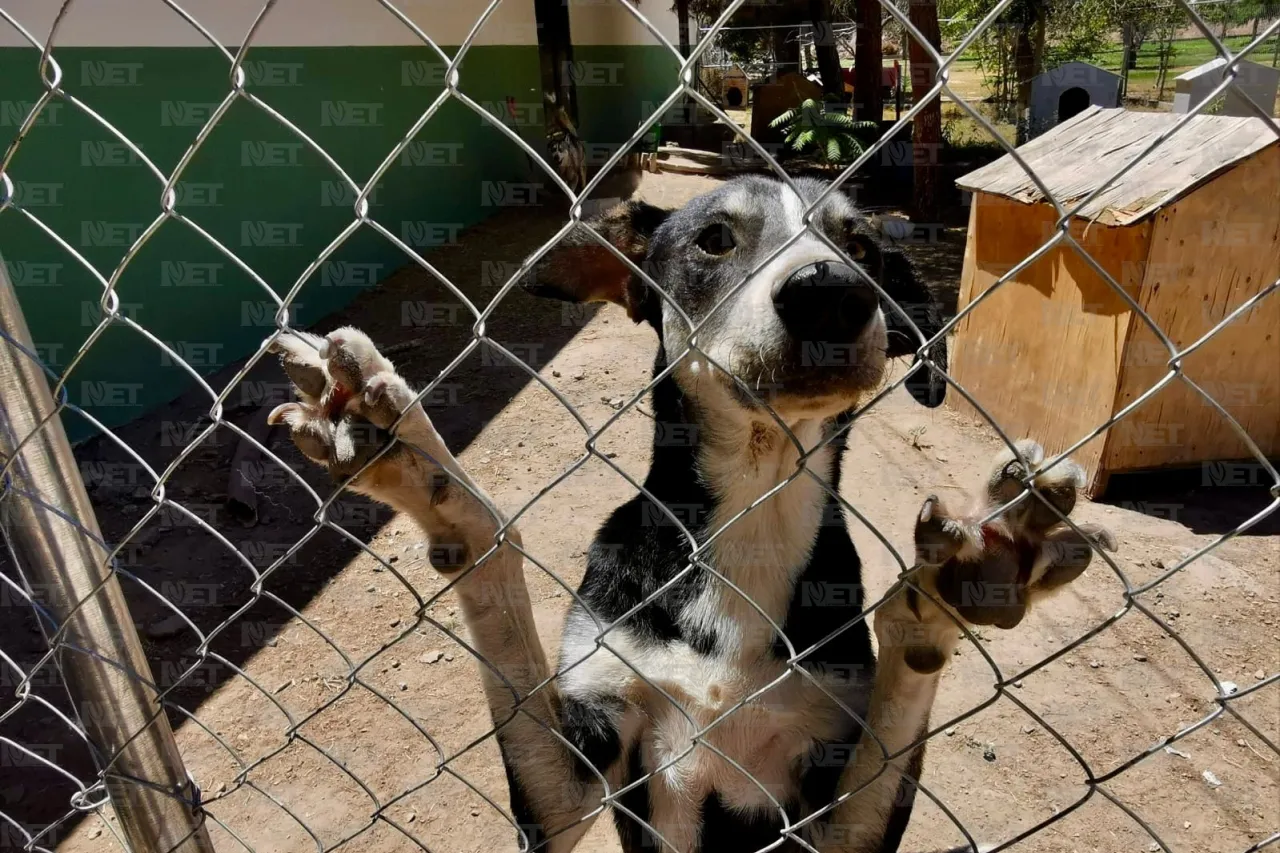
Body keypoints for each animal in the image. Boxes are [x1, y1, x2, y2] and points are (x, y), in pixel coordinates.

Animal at [264, 174, 1116, 850]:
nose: (830, 291)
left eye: (863, 246)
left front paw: (974, 564)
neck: (754, 506)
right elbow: (494, 567)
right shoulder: (569, 781)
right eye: (714, 239)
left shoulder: (839, 809)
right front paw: (409, 452)